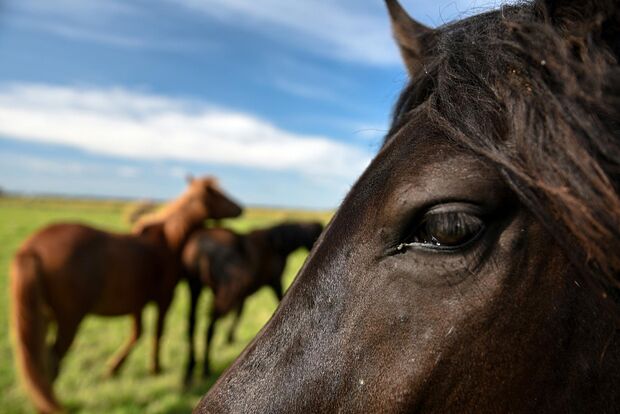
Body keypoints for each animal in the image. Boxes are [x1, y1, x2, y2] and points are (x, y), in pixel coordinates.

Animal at [11, 176, 242, 412]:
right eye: (219, 195)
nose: (240, 208)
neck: (168, 241)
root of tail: (32, 249)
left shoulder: (137, 303)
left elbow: (136, 334)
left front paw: (114, 369)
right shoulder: (164, 299)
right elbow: (157, 333)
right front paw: (155, 368)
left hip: (43, 317)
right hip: (69, 319)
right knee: (51, 362)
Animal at [180, 222, 322, 386]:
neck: (275, 243)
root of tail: (201, 248)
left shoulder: (244, 295)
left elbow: (239, 313)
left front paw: (230, 338)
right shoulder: (274, 282)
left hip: (195, 287)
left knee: (193, 324)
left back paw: (190, 371)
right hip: (224, 294)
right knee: (210, 326)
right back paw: (205, 368)